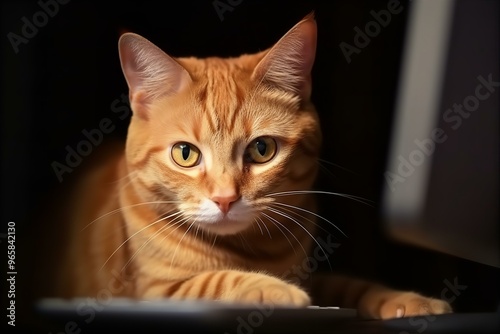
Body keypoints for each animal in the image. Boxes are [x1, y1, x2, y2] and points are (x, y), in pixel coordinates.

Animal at [47, 13, 454, 320]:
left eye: (261, 149)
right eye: (185, 154)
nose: (225, 199)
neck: (252, 250)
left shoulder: (313, 275)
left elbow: (351, 285)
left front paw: (407, 300)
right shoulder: (155, 291)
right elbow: (216, 281)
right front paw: (277, 290)